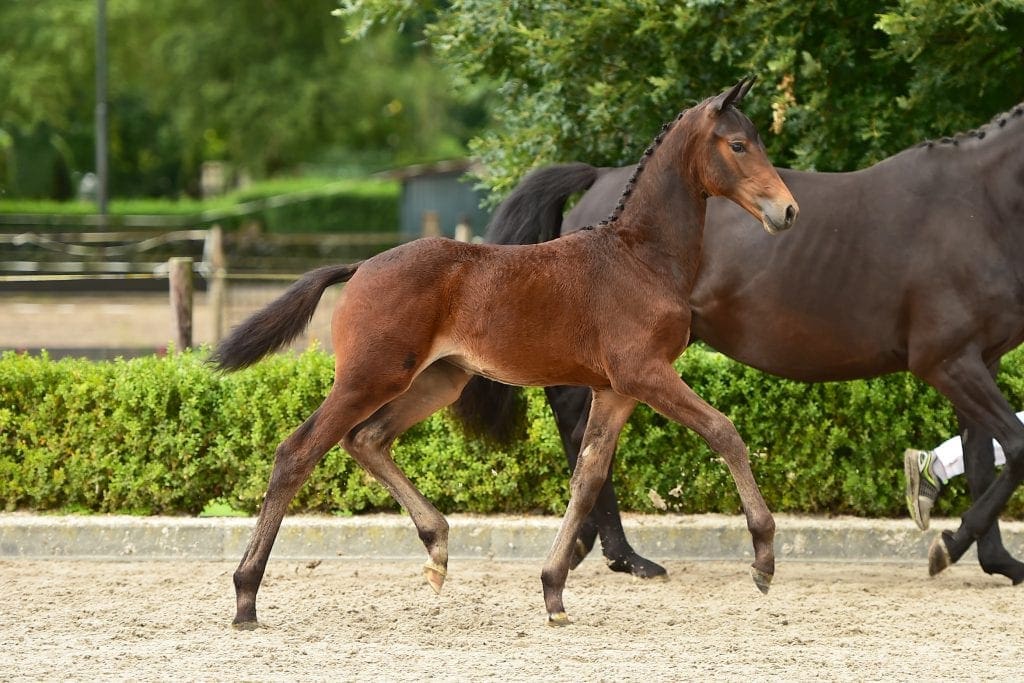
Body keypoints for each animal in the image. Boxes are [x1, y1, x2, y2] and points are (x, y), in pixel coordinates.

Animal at [210, 78, 799, 628]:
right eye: (739, 145)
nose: (788, 210)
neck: (640, 257)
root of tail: (359, 267)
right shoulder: (646, 374)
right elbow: (725, 432)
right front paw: (764, 559)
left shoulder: (615, 389)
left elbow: (587, 478)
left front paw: (553, 590)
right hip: (370, 377)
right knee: (298, 452)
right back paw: (245, 596)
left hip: (438, 381)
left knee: (367, 439)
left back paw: (437, 547)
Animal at [458, 98, 1024, 584]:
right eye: (737, 144)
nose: (786, 213)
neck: (979, 207)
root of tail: (598, 181)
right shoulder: (947, 362)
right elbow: (1015, 446)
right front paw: (951, 546)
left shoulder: (980, 360)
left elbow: (983, 458)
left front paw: (996, 559)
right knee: (581, 433)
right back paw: (623, 556)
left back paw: (588, 547)